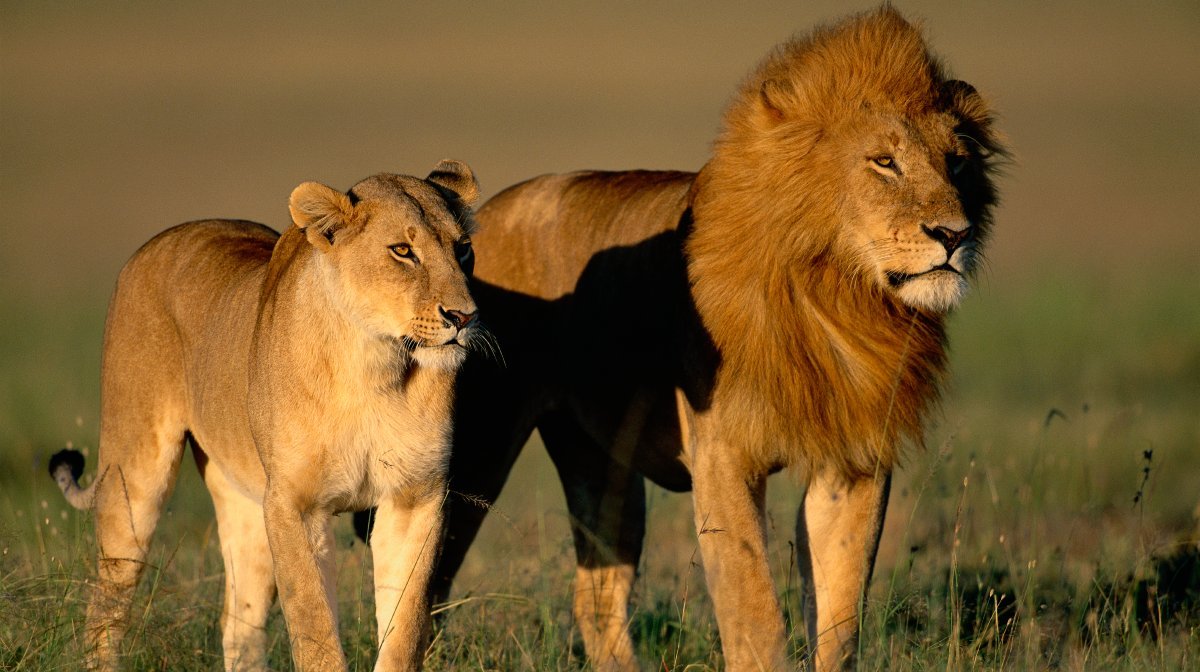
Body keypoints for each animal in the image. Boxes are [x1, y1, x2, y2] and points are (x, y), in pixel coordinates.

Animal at [49, 161, 482, 672]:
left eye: (463, 248)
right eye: (402, 251)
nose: (464, 316)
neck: (376, 366)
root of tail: (154, 243)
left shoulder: (417, 499)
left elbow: (406, 626)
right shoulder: (294, 505)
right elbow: (314, 627)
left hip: (244, 503)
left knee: (240, 625)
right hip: (134, 478)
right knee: (106, 606)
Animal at [427, 8, 1004, 671]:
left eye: (957, 163)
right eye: (884, 162)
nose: (954, 234)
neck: (837, 296)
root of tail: (478, 219)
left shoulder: (854, 461)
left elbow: (839, 616)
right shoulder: (722, 457)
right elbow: (755, 611)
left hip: (601, 462)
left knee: (596, 596)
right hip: (476, 452)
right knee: (430, 581)